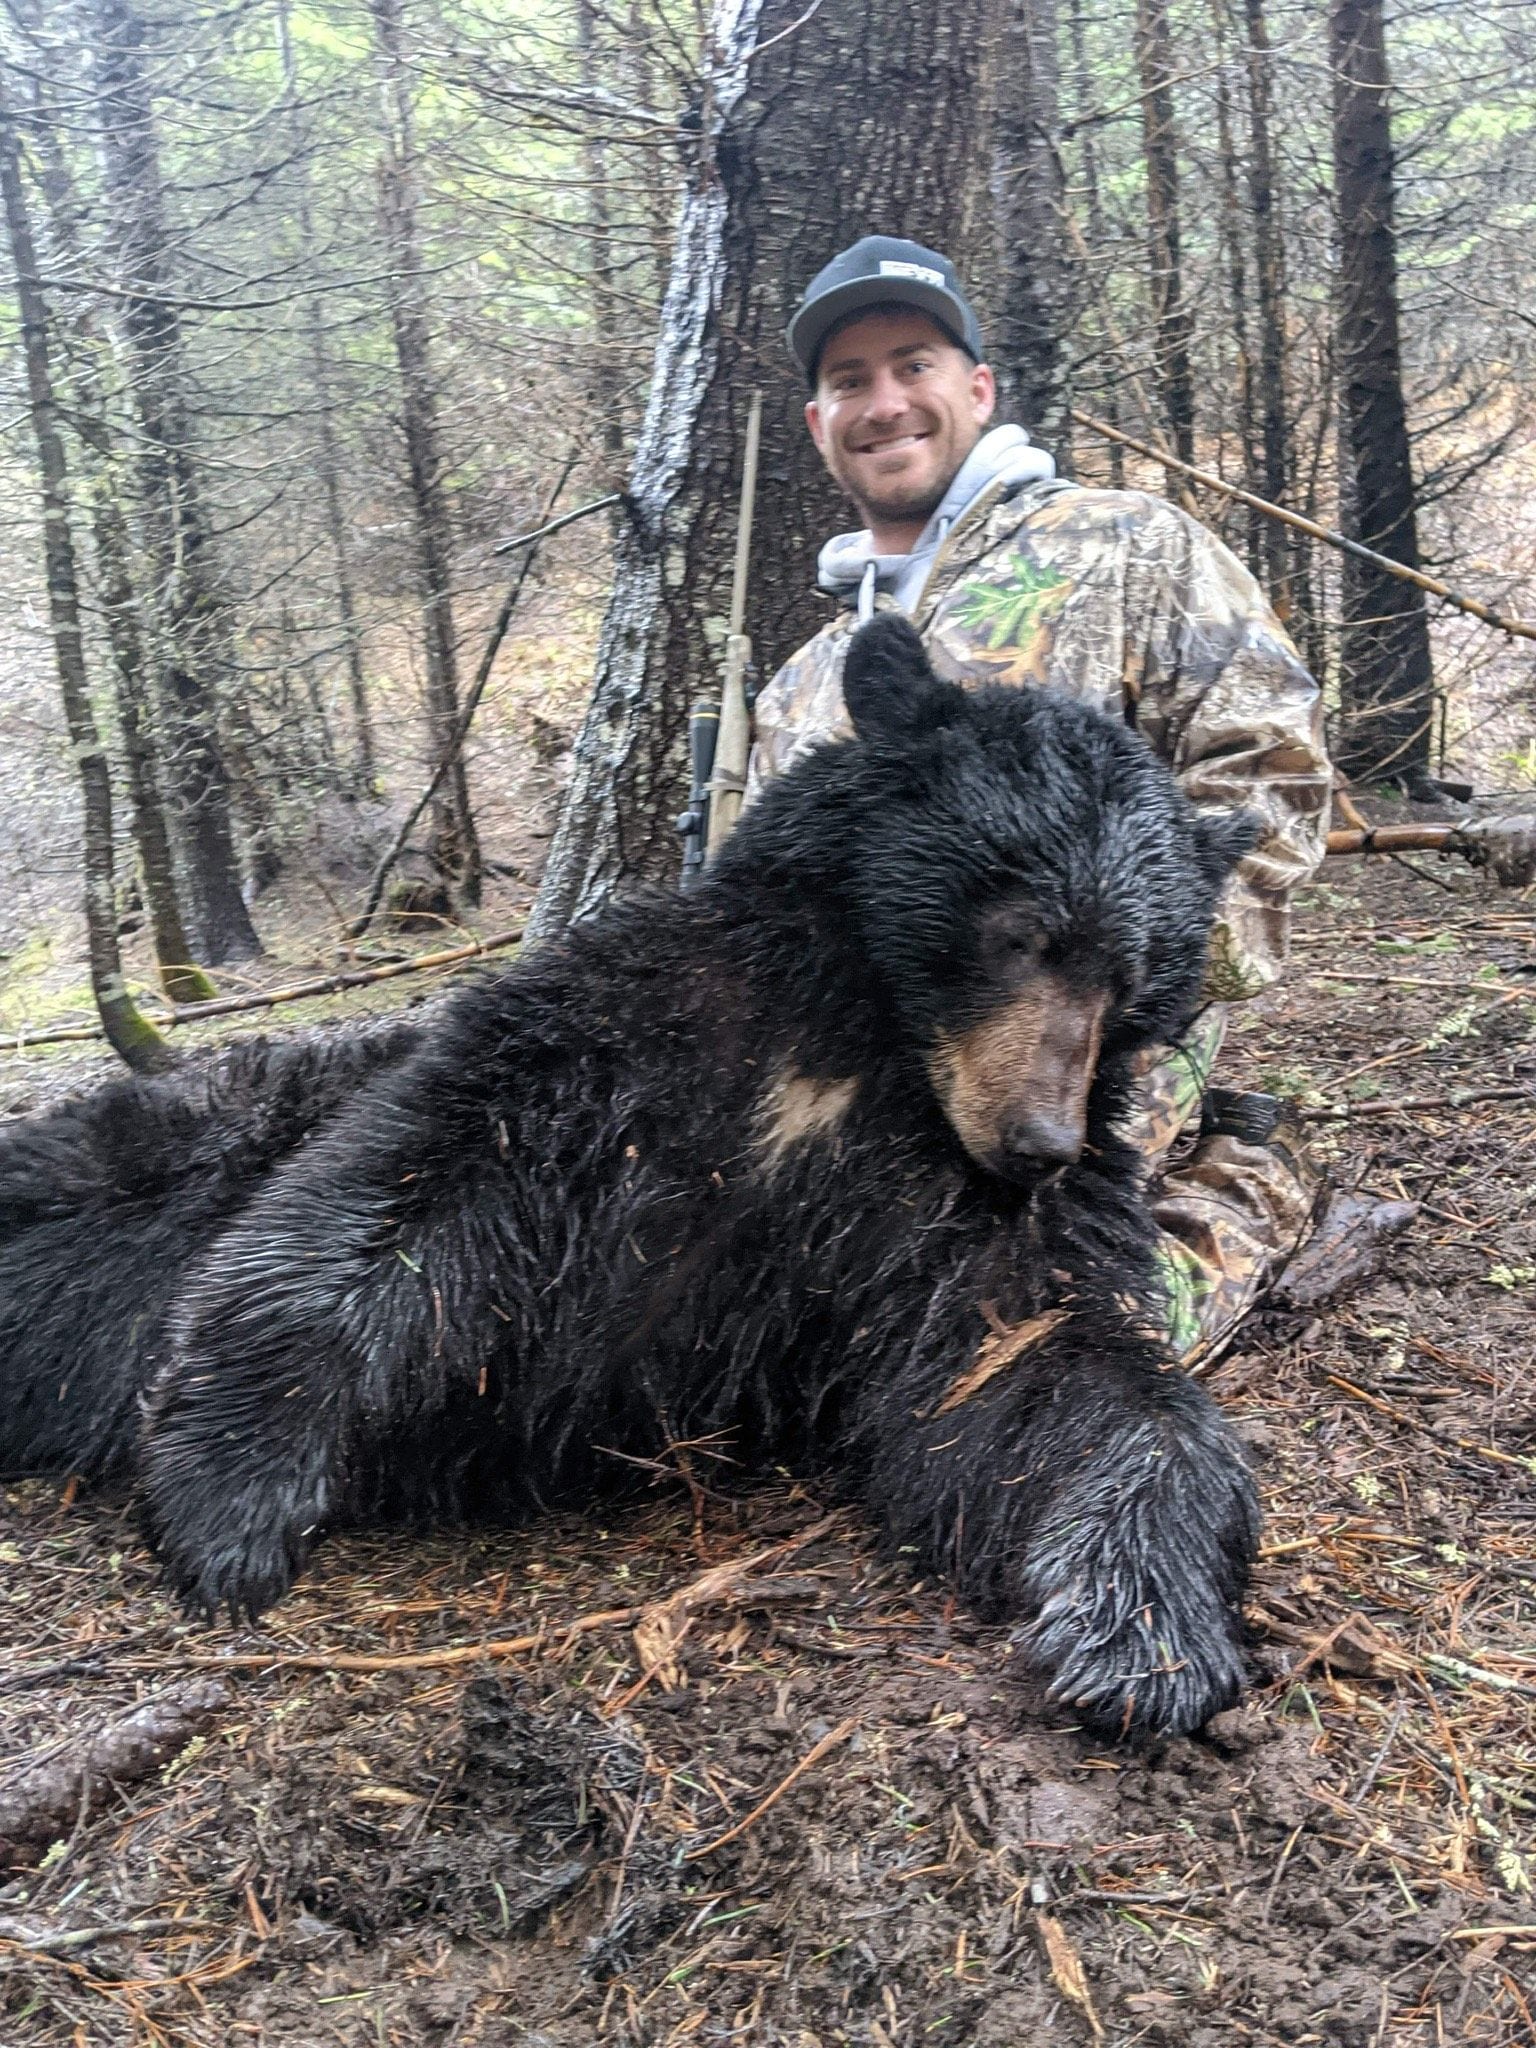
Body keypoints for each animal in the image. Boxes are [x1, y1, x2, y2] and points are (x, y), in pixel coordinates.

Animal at [116, 614, 1263, 1744]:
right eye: (1021, 929)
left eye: (1129, 976)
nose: (1038, 1144)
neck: (868, 1045)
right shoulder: (644, 1042)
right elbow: (412, 1188)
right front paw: (228, 1498)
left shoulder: (950, 1212)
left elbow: (1029, 1365)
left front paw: (1143, 1628)